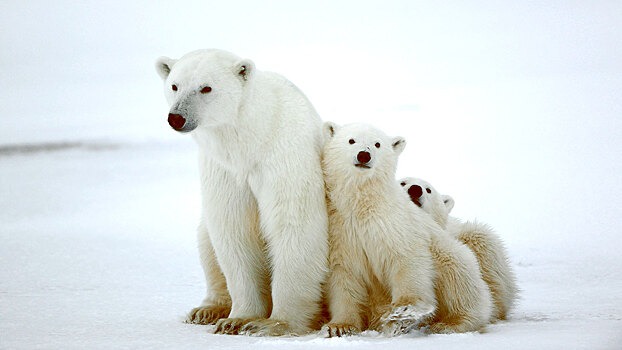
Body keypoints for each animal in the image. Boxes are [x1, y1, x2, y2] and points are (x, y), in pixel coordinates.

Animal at [155, 50, 330, 336]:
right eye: (174, 85)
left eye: (206, 87)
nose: (177, 118)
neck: (251, 139)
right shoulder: (224, 169)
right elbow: (234, 229)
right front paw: (237, 319)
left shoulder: (285, 155)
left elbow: (293, 225)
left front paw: (273, 324)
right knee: (206, 241)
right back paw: (207, 310)